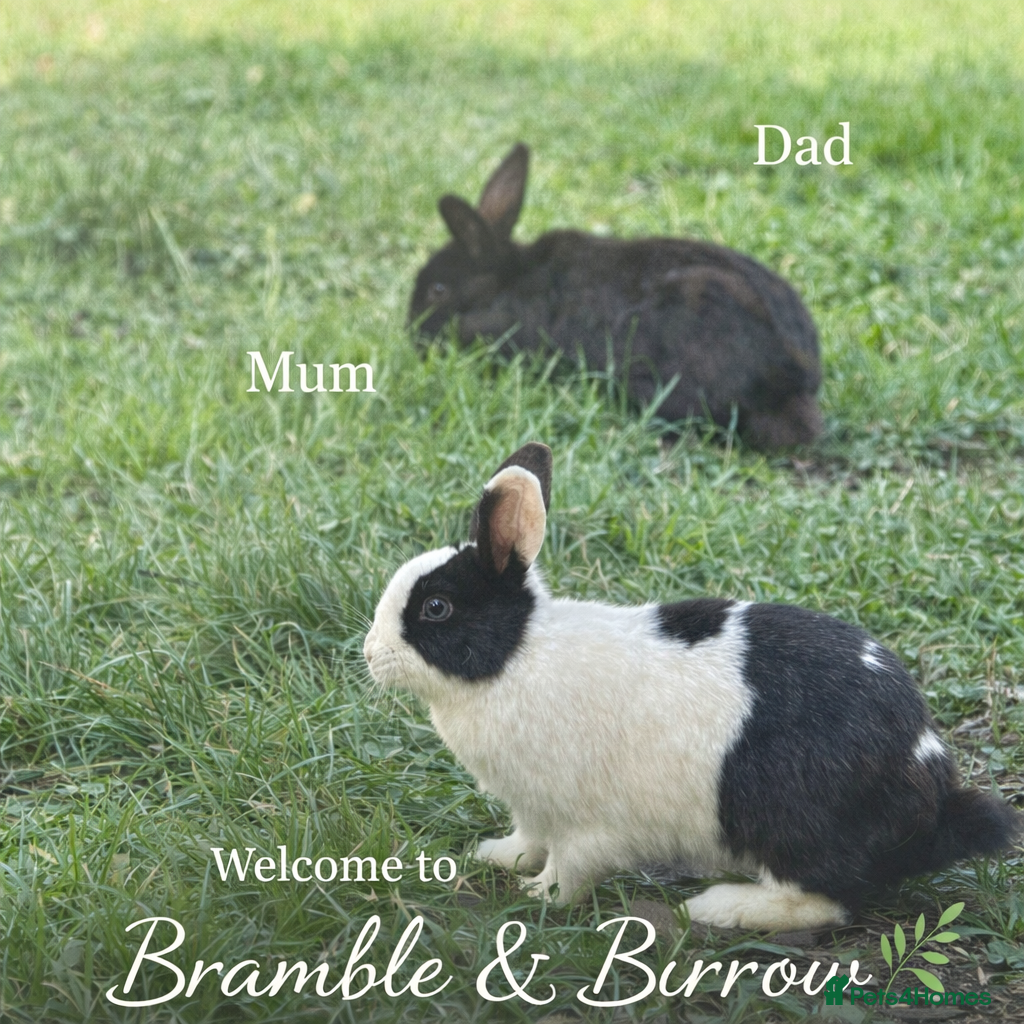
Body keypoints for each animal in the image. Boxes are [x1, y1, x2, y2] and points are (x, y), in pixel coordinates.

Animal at [363, 442, 1019, 931]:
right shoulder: (535, 809)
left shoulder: (586, 824)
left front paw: (535, 897)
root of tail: (929, 791)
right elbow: (529, 838)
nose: (371, 654)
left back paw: (718, 907)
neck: (515, 657)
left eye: (437, 608)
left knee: (824, 899)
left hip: (785, 816)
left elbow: (571, 870)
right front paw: (498, 857)